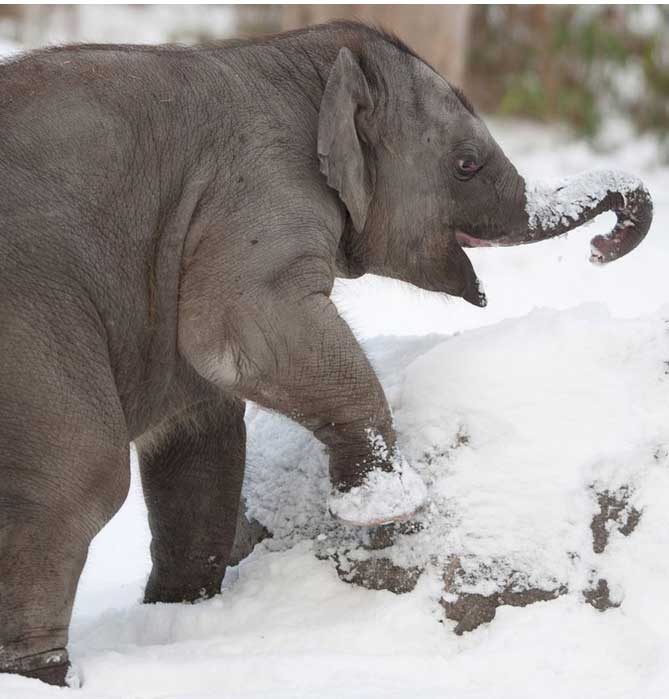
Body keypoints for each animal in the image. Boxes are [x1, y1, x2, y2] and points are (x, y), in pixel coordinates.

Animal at [0, 20, 648, 684]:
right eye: (466, 165)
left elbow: (206, 446)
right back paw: (48, 677)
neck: (306, 57)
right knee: (79, 476)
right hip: (31, 315)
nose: (601, 247)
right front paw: (386, 511)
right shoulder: (258, 196)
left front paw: (178, 619)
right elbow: (238, 329)